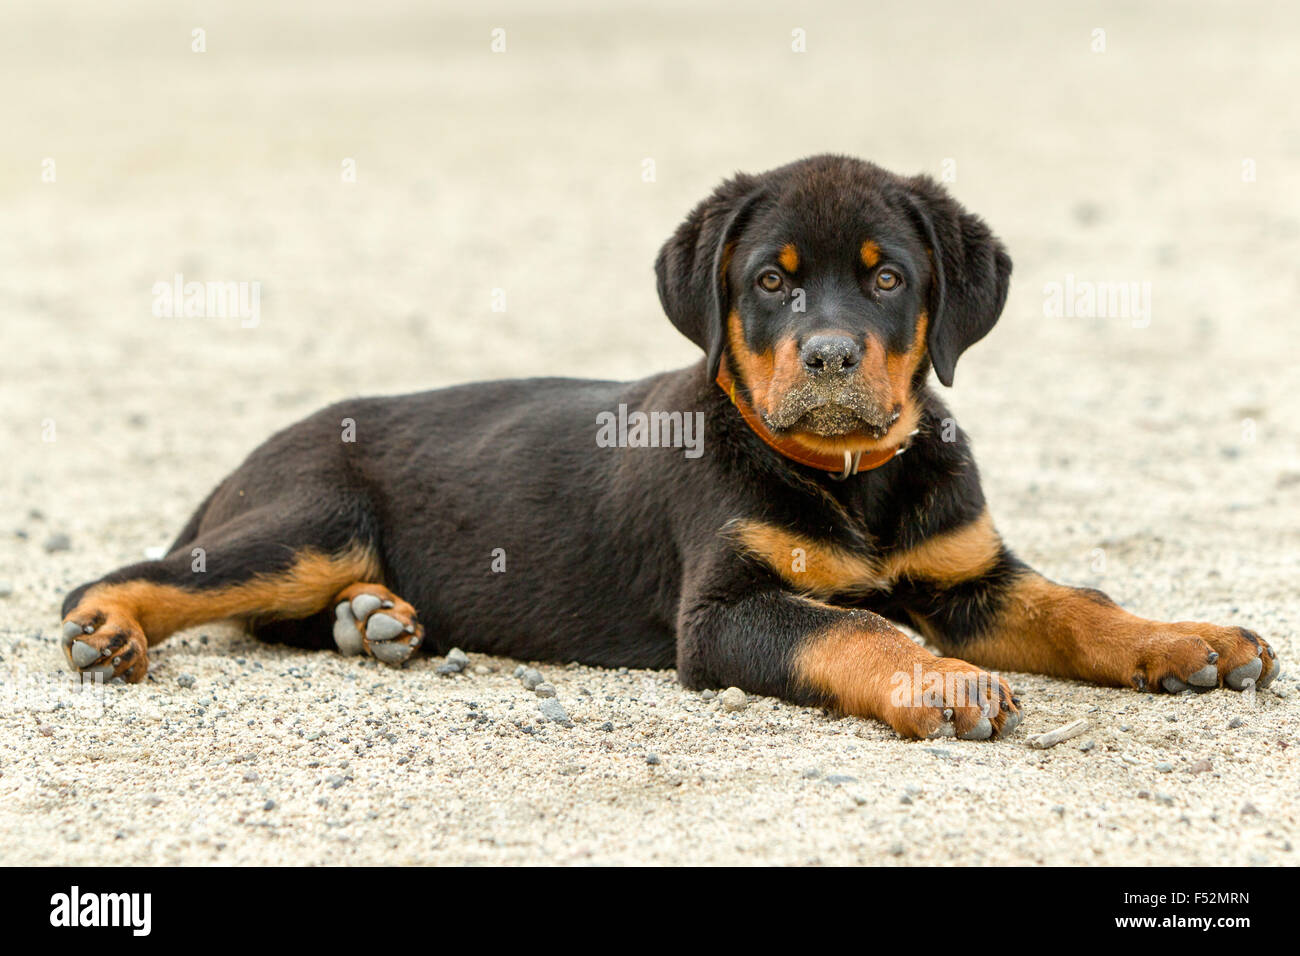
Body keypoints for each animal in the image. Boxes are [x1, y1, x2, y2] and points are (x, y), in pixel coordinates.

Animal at [63, 155, 1279, 738]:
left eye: (889, 277)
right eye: (771, 282)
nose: (830, 356)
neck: (854, 484)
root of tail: (254, 452)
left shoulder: (966, 571)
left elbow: (1080, 605)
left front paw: (1187, 641)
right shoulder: (726, 612)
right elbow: (853, 631)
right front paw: (939, 683)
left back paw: (375, 622)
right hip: (310, 521)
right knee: (138, 577)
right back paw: (107, 631)